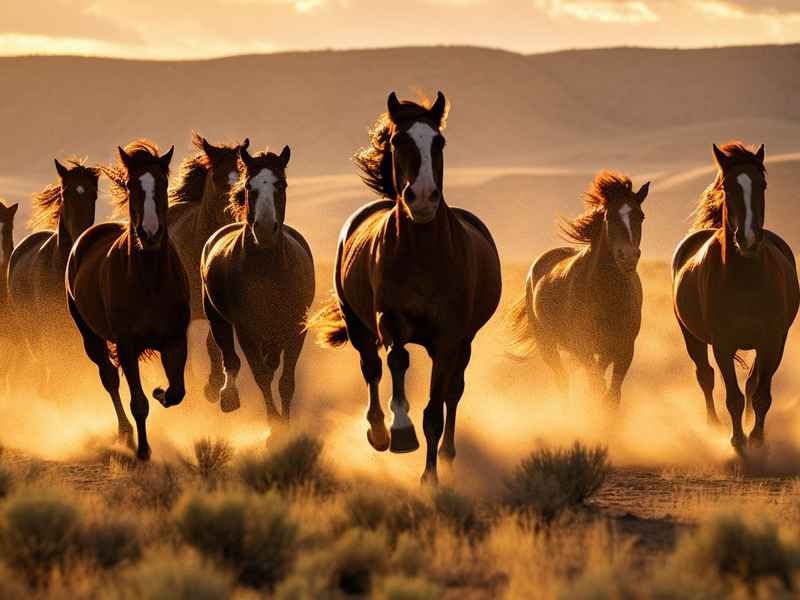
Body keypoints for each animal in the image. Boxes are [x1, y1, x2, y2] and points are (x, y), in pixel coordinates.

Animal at [66, 140, 190, 460]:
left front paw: (160, 391)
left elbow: (176, 392)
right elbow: (139, 403)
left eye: (162, 183)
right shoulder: (127, 345)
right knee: (109, 378)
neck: (150, 282)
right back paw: (125, 433)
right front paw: (144, 451)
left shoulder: (175, 340)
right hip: (90, 337)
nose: (150, 233)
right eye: (132, 184)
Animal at [201, 145, 314, 421]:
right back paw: (228, 395)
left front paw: (286, 422)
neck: (267, 271)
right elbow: (261, 375)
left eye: (281, 184)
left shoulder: (295, 327)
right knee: (229, 358)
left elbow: (286, 381)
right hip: (217, 317)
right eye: (249, 186)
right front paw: (275, 423)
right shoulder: (247, 330)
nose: (263, 229)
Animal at [309, 92, 501, 484]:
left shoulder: (448, 338)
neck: (424, 256)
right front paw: (400, 431)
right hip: (358, 325)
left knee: (454, 392)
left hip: (465, 342)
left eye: (439, 141)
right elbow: (397, 361)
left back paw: (447, 455)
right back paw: (379, 431)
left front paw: (430, 477)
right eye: (399, 140)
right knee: (372, 368)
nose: (424, 197)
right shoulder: (391, 320)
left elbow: (436, 409)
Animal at [508, 172, 650, 405]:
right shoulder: (585, 348)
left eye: (640, 216)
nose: (628, 257)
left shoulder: (624, 350)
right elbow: (597, 387)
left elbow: (611, 395)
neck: (608, 294)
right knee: (563, 382)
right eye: (609, 217)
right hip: (548, 346)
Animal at [672, 142, 799, 451]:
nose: (748, 239)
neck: (746, 280)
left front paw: (758, 439)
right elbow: (733, 397)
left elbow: (761, 394)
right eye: (728, 186)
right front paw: (738, 440)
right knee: (705, 376)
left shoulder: (773, 341)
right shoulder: (722, 344)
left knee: (751, 383)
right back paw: (712, 424)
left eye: (762, 184)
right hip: (691, 337)